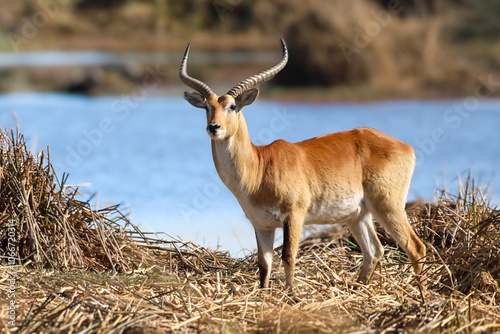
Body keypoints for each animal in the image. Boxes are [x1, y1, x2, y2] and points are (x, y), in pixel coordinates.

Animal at [180, 37, 426, 288]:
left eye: (232, 106)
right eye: (207, 107)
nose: (214, 127)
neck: (258, 168)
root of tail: (405, 146)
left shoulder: (294, 216)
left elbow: (288, 257)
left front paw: (291, 293)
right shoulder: (262, 225)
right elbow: (264, 266)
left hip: (388, 206)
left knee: (415, 246)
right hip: (358, 214)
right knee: (374, 251)